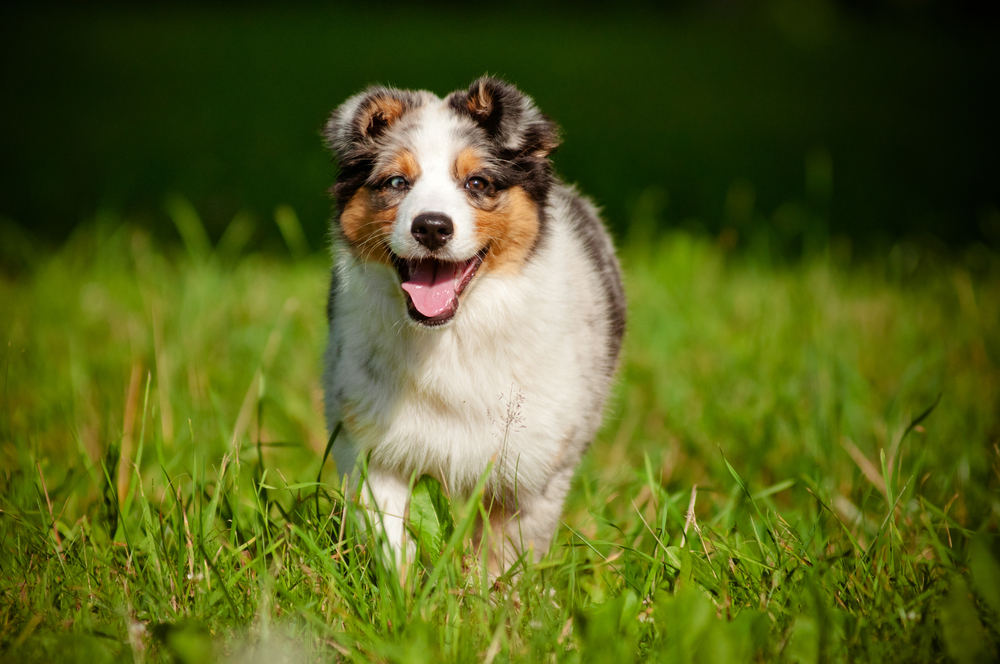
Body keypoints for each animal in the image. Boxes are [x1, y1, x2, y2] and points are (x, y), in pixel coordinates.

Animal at [322, 76, 624, 572]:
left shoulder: (532, 467)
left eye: (477, 182)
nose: (431, 227)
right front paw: (406, 591)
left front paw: (489, 592)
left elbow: (503, 557)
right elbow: (390, 536)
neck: (449, 339)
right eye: (397, 182)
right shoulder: (369, 441)